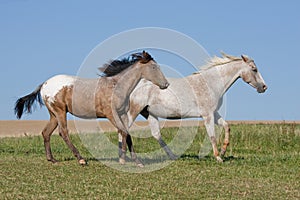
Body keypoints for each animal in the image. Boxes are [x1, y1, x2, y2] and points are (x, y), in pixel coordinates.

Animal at [14, 50, 169, 166]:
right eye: (154, 67)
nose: (166, 84)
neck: (116, 87)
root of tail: (44, 85)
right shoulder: (111, 114)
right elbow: (124, 132)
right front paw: (122, 160)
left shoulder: (123, 114)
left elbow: (127, 133)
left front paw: (137, 162)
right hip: (60, 111)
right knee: (63, 132)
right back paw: (81, 159)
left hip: (53, 114)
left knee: (46, 133)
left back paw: (52, 159)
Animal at [119, 52, 268, 162]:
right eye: (254, 69)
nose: (264, 87)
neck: (211, 83)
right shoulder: (207, 115)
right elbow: (212, 135)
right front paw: (218, 157)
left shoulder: (214, 113)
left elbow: (227, 126)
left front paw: (224, 151)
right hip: (134, 110)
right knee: (123, 130)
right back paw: (123, 158)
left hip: (149, 113)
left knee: (155, 134)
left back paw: (172, 156)